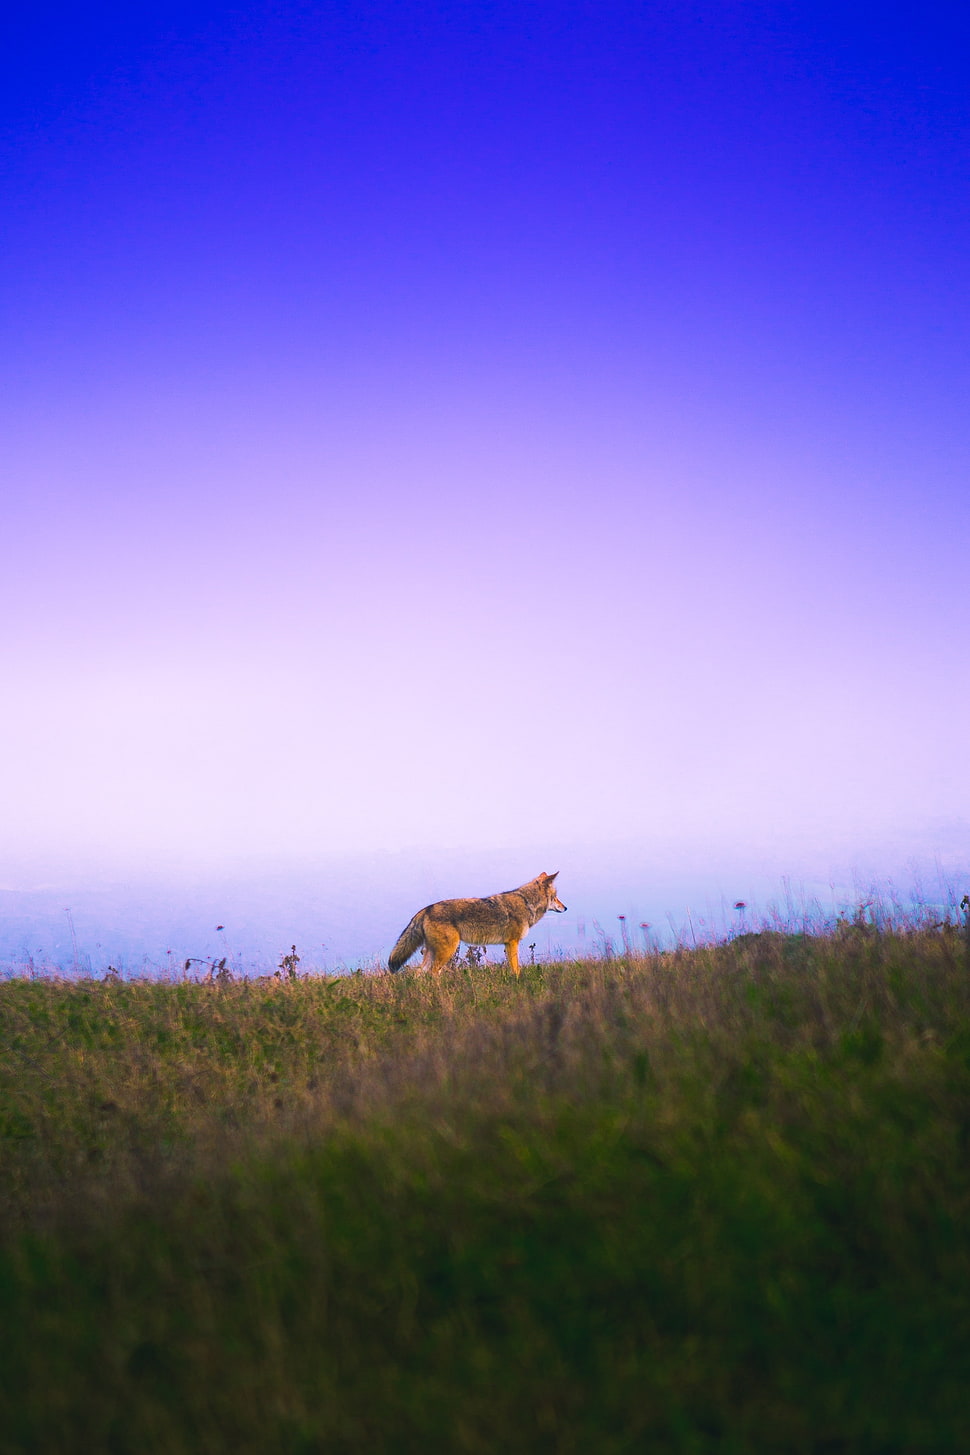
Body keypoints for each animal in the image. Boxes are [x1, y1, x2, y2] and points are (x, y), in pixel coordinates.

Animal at [387, 872, 567, 976]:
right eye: (556, 896)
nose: (565, 907)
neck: (526, 902)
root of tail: (426, 909)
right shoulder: (512, 943)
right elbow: (516, 969)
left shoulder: (508, 944)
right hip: (447, 951)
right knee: (432, 973)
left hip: (433, 953)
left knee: (419, 974)